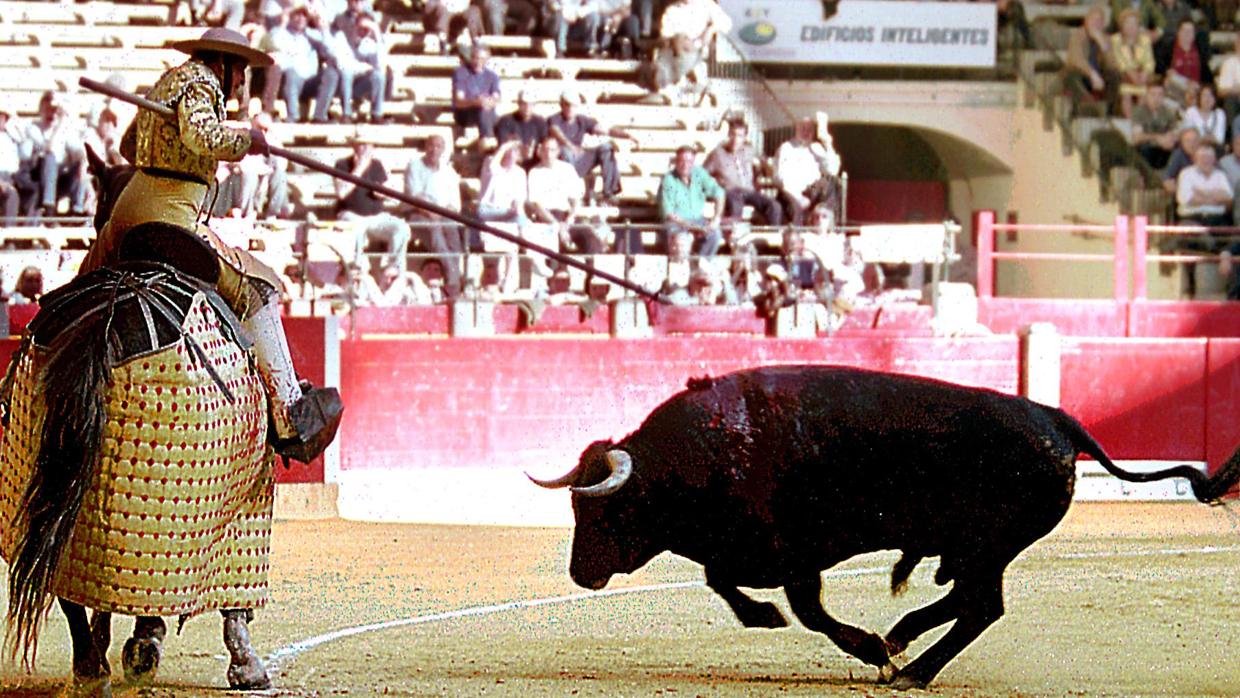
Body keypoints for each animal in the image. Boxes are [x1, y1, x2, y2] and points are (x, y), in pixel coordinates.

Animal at [0, 147, 274, 694]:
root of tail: (107, 316)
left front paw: (129, 646)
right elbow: (226, 597)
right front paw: (240, 664)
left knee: (63, 570)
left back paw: (90, 667)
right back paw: (115, 662)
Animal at [530, 369, 1240, 689]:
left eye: (604, 511)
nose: (579, 575)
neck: (703, 454)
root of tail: (1056, 418)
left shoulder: (793, 555)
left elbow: (798, 607)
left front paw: (866, 646)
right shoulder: (763, 555)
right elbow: (723, 582)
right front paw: (789, 622)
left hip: (985, 546)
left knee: (980, 607)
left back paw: (909, 669)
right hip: (980, 549)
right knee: (969, 602)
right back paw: (904, 640)